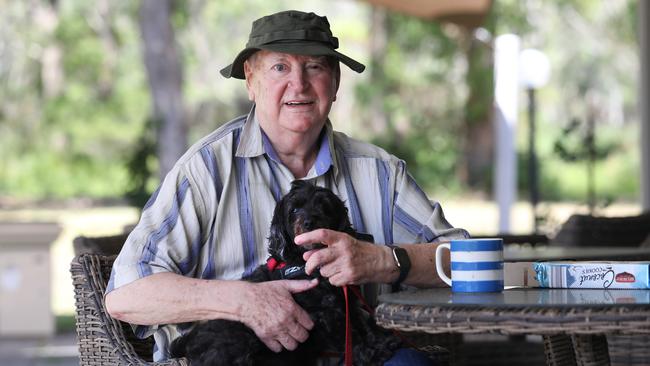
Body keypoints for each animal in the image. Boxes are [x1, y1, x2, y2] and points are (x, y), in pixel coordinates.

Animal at [168, 180, 400, 366]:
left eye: (325, 207)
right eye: (294, 210)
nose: (309, 222)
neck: (306, 263)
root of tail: (186, 345)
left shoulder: (345, 301)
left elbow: (361, 324)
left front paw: (382, 340)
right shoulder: (324, 314)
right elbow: (349, 334)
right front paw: (371, 353)